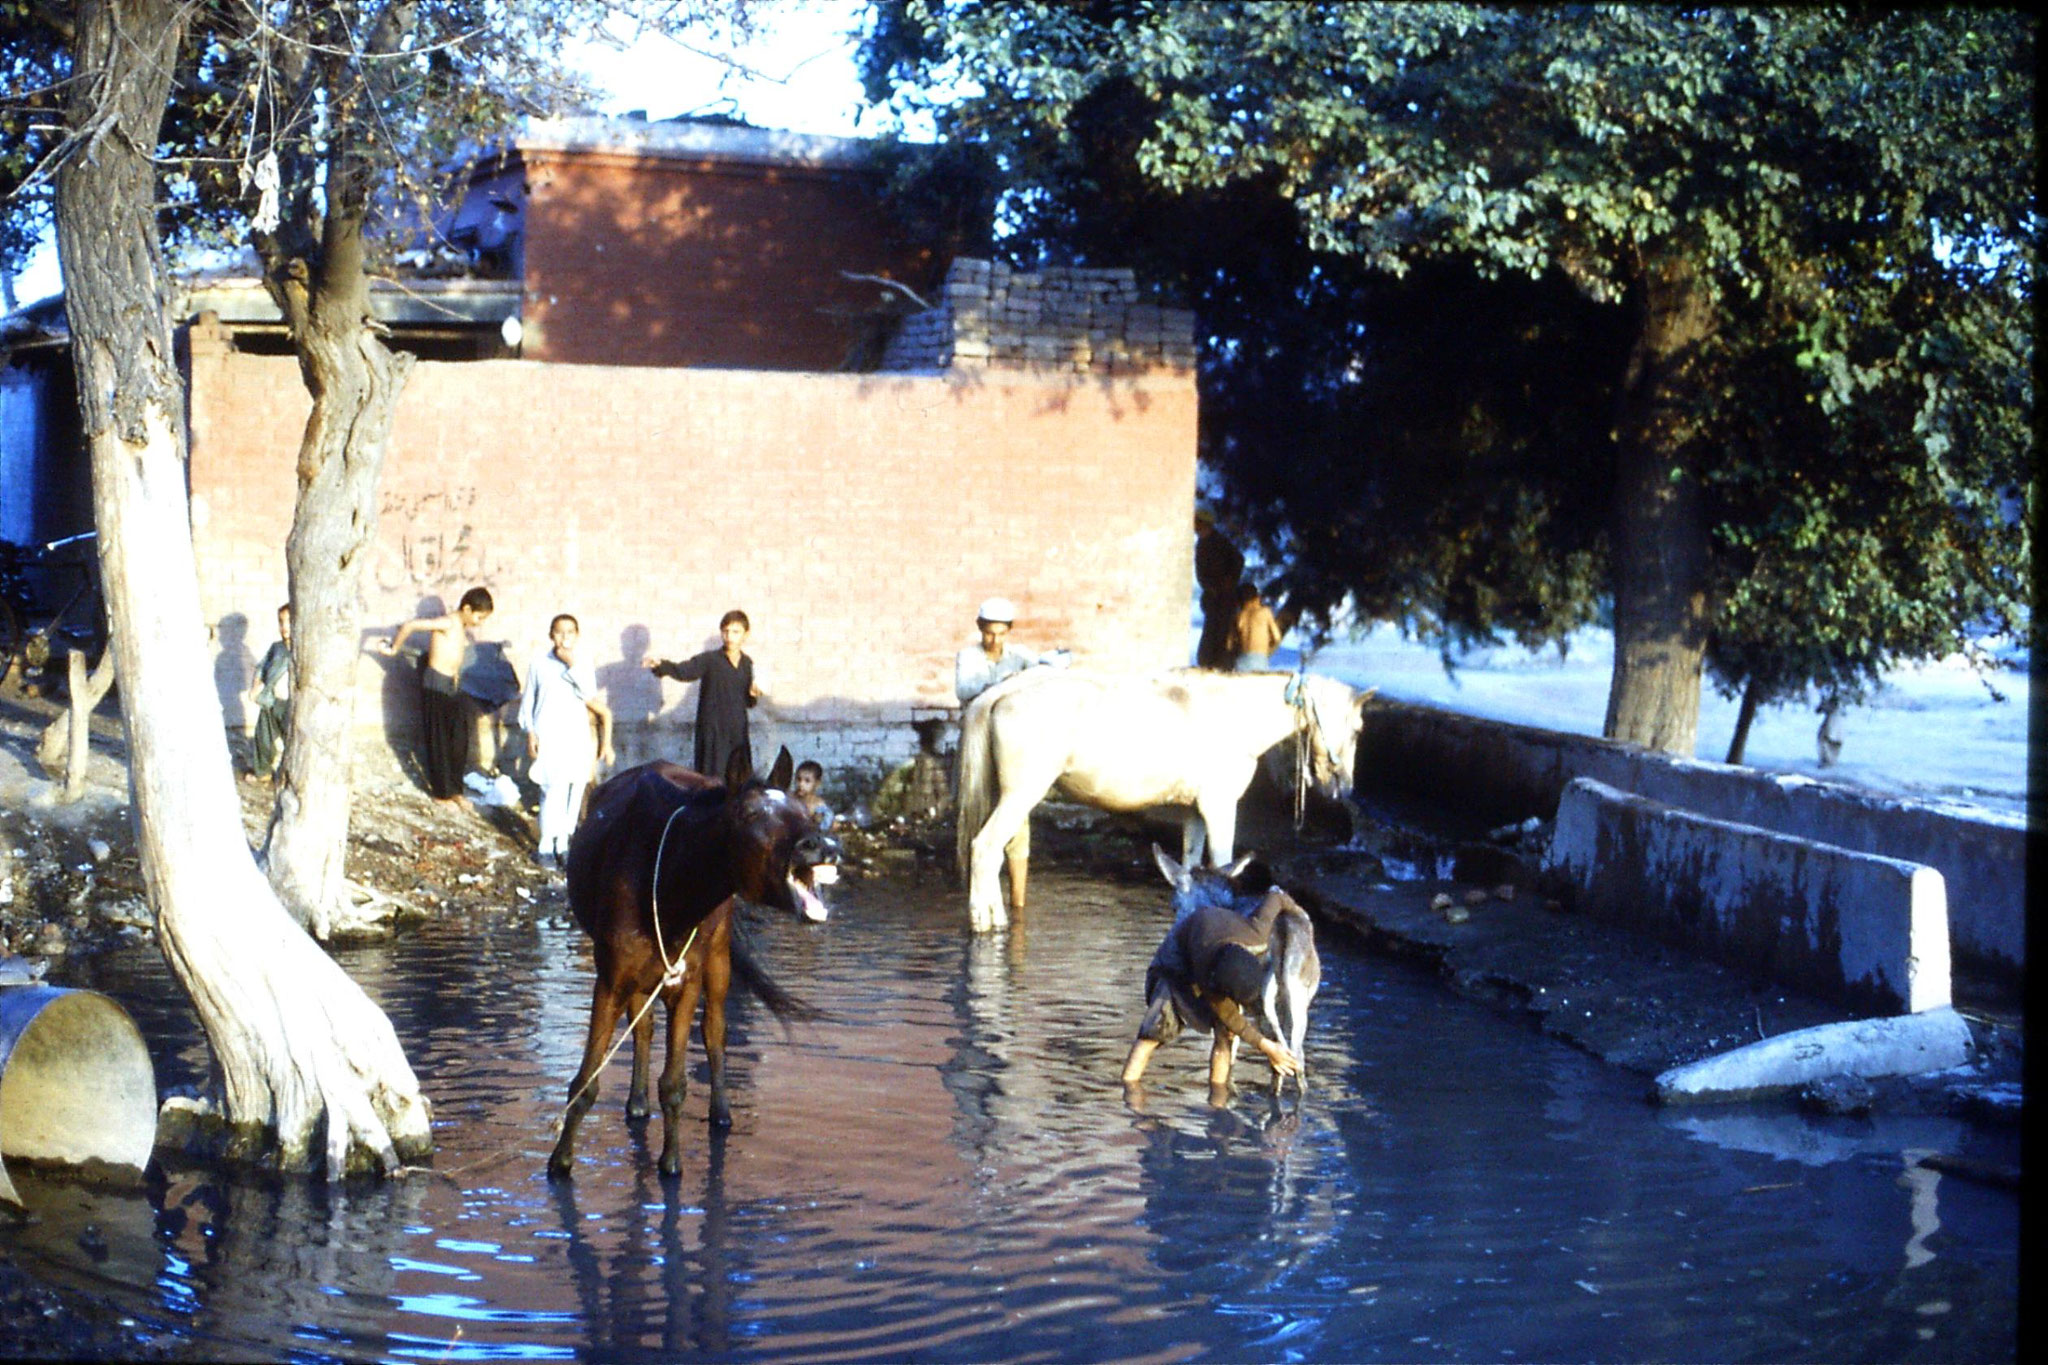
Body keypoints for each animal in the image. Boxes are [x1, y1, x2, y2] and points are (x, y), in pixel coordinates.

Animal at [544, 740, 839, 1178]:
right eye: (750, 813)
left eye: (804, 813)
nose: (821, 846)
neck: (672, 878)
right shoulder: (612, 977)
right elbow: (587, 1078)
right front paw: (560, 1160)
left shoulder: (687, 981)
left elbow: (675, 1082)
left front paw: (671, 1162)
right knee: (643, 1025)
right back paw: (636, 1101)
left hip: (717, 959)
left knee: (715, 1031)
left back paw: (720, 1113)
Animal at [950, 671, 1368, 933]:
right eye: (1358, 729)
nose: (1345, 787)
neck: (1232, 717)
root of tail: (1000, 691)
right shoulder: (1219, 808)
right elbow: (1222, 865)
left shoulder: (1195, 813)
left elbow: (1190, 866)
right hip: (1020, 796)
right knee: (985, 848)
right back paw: (985, 921)